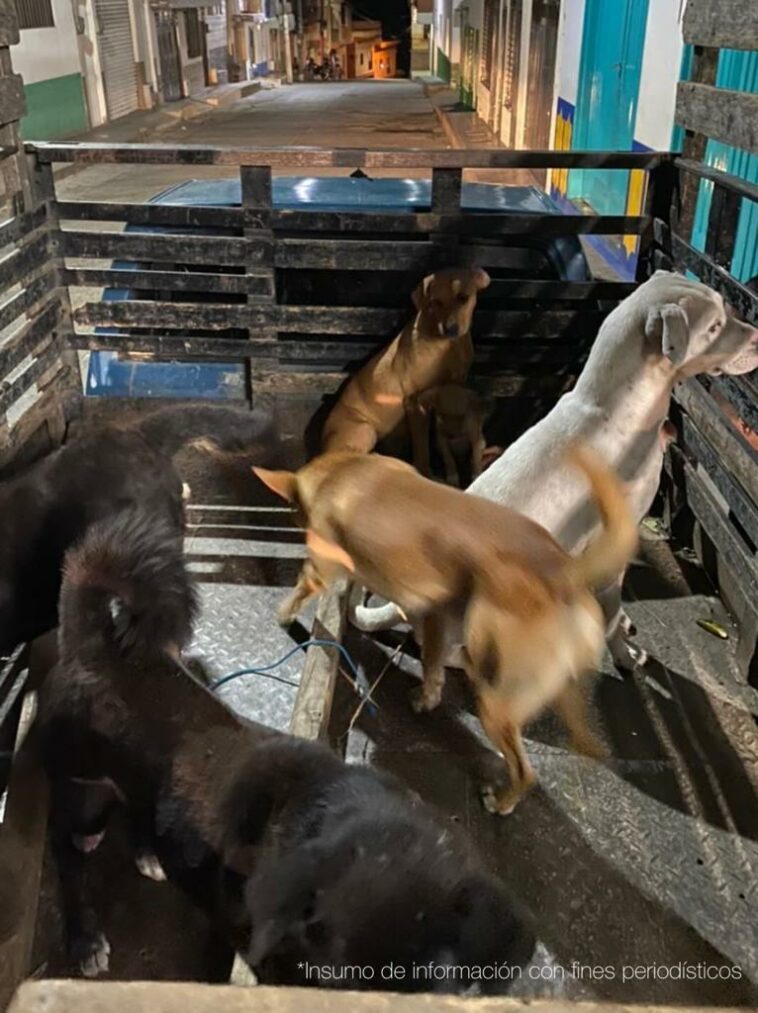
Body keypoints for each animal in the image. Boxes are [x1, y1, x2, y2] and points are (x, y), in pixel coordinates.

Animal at [40, 506, 531, 988]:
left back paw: (146, 850)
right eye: (337, 975)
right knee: (67, 856)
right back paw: (84, 937)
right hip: (76, 788)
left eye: (440, 977)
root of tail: (95, 643)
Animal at [256, 451, 640, 814]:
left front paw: (285, 614)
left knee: (525, 771)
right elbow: (430, 664)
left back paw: (501, 802)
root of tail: (565, 571)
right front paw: (428, 696)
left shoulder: (321, 569)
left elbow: (303, 590)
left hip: (494, 694)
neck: (343, 471)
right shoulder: (435, 613)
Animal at [322, 269, 492, 459]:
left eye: (463, 297)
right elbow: (422, 452)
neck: (448, 346)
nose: (450, 329)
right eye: (436, 302)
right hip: (366, 430)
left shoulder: (451, 388)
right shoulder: (415, 403)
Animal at [354, 271, 758, 672]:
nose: (756, 337)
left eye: (725, 306)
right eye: (715, 326)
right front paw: (624, 654)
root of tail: (402, 605)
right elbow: (610, 616)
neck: (613, 406)